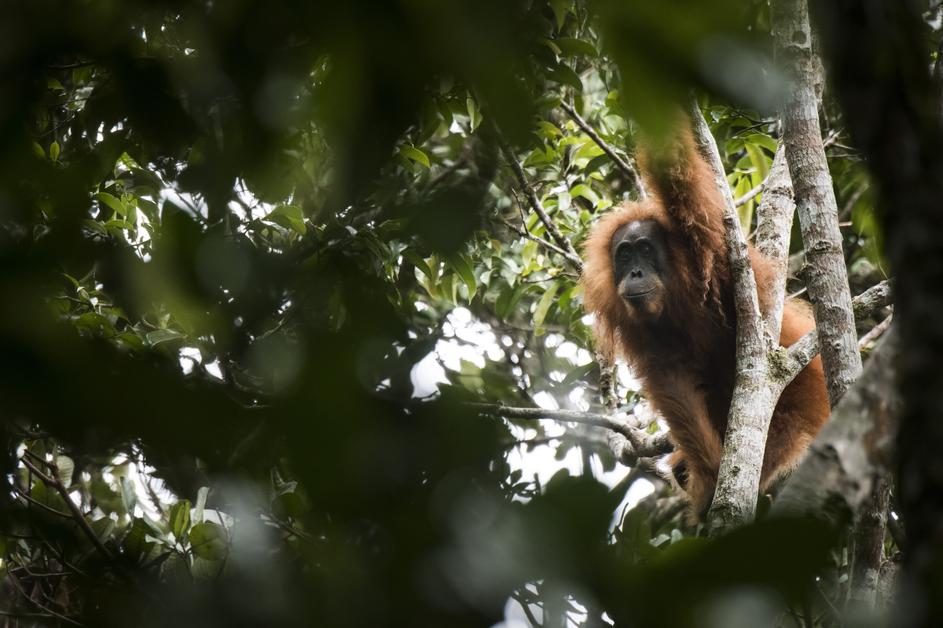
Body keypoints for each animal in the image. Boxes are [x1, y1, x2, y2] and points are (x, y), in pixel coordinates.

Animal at [581, 120, 830, 519]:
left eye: (645, 249)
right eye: (625, 254)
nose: (634, 273)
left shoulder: (706, 246)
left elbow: (675, 174)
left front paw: (710, 482)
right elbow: (672, 379)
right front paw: (708, 475)